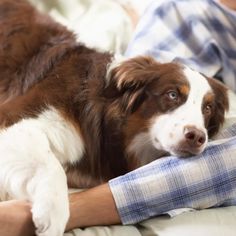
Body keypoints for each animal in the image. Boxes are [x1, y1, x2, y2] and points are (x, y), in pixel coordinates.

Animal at [0, 0, 230, 236]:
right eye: (172, 95)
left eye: (207, 108)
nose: (197, 137)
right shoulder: (14, 116)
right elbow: (50, 164)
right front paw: (53, 215)